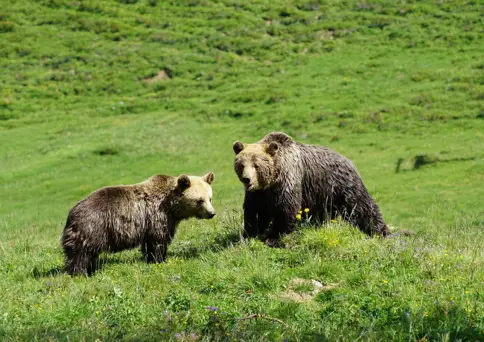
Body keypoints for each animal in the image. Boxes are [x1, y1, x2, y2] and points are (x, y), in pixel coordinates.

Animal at [61, 172, 216, 276]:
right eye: (199, 200)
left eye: (210, 198)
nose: (211, 213)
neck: (172, 207)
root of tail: (71, 213)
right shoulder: (157, 216)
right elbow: (159, 241)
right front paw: (159, 260)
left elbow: (149, 244)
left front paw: (150, 259)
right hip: (92, 227)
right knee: (81, 254)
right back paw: (80, 273)